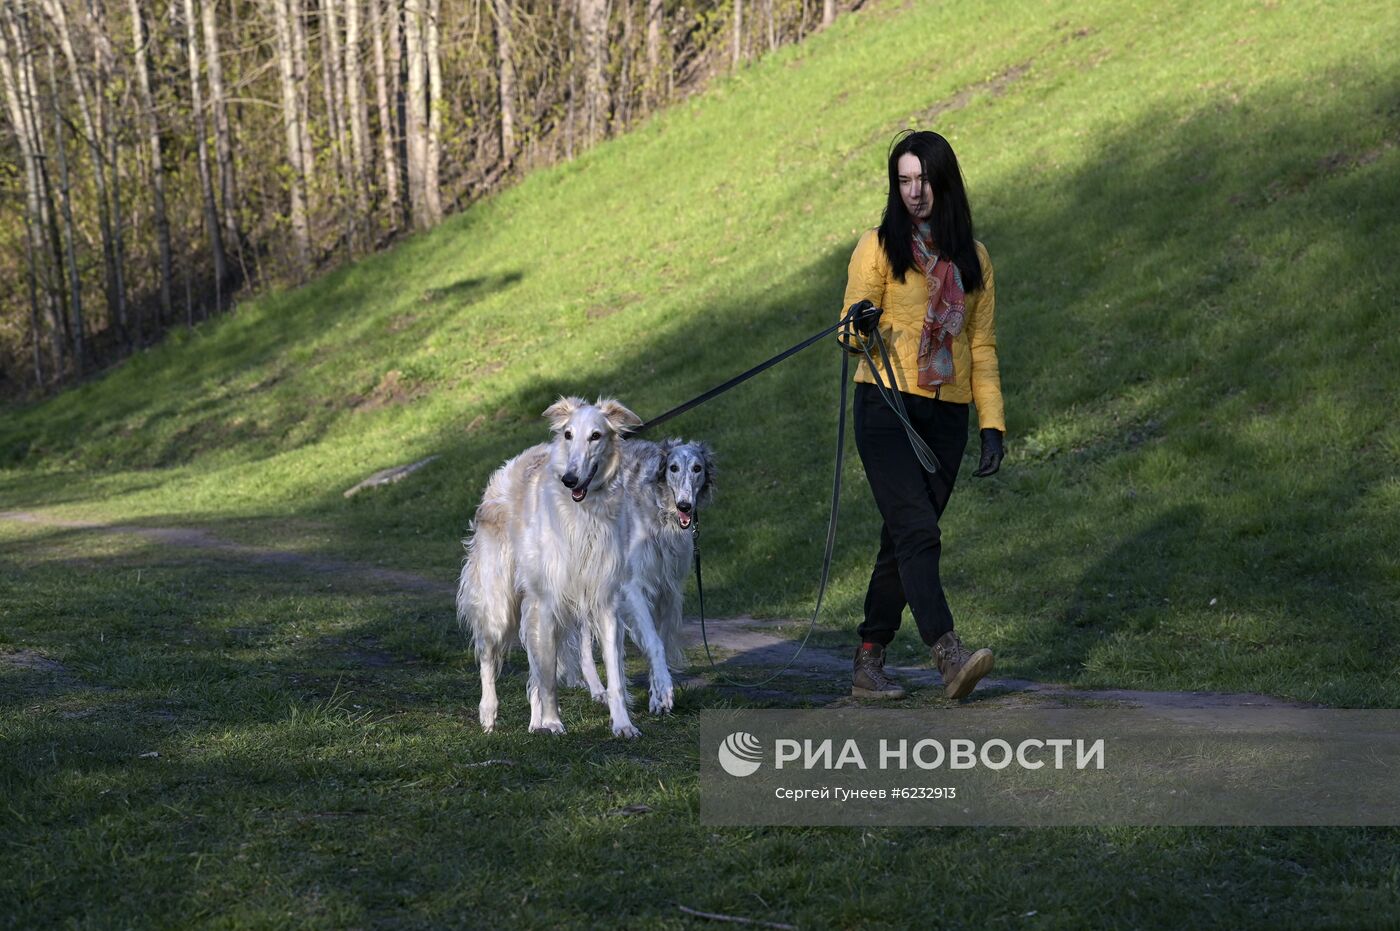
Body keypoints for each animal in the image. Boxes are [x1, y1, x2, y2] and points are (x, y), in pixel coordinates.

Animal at [459, 394, 644, 739]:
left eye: (596, 435)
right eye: (568, 434)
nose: (569, 479)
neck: (583, 513)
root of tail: (504, 472)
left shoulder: (604, 601)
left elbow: (612, 674)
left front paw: (623, 724)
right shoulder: (545, 602)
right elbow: (547, 681)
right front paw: (553, 721)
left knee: (534, 670)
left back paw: (534, 722)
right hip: (499, 603)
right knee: (489, 656)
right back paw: (489, 713)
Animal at [568, 436, 716, 711]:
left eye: (697, 468)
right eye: (673, 468)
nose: (685, 505)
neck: (660, 511)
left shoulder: (667, 588)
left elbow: (657, 640)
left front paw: (656, 695)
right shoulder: (632, 586)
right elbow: (655, 642)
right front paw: (665, 690)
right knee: (582, 644)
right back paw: (598, 689)